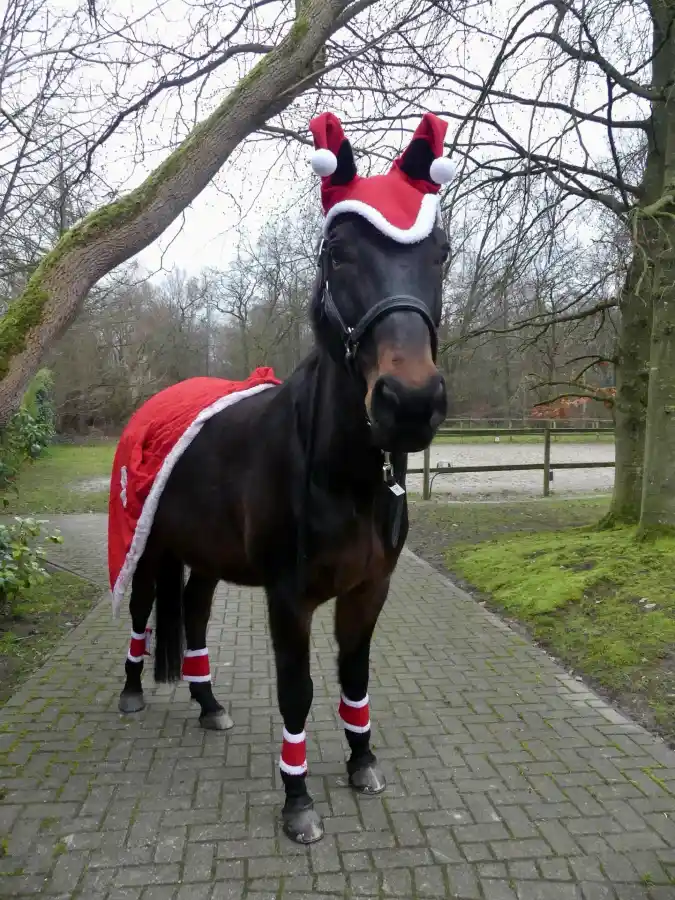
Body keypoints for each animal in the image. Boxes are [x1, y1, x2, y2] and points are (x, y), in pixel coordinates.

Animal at [112, 112, 450, 844]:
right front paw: (297, 799)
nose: (409, 402)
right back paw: (130, 692)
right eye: (338, 254)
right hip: (146, 546)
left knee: (195, 614)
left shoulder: (368, 591)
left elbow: (353, 679)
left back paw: (208, 701)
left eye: (438, 251)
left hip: (205, 556)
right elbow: (297, 691)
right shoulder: (288, 598)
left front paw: (361, 762)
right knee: (143, 610)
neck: (343, 477)